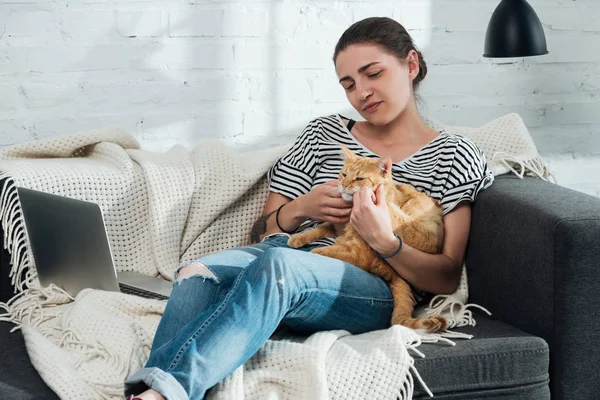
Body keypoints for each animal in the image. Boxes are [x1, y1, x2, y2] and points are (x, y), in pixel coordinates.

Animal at [288, 145, 448, 332]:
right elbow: (318, 229)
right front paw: (298, 238)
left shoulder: (356, 245)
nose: (343, 185)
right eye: (344, 174)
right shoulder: (336, 228)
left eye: (359, 178)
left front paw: (314, 249)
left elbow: (334, 248)